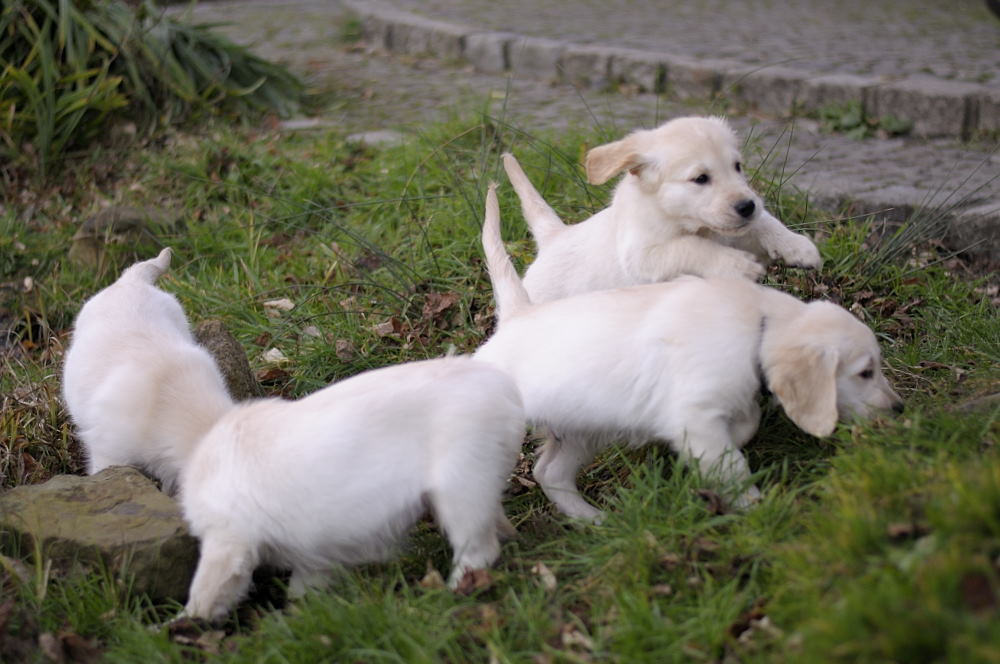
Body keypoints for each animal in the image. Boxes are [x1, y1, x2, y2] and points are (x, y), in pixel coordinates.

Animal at [180, 356, 525, 622]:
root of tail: (504, 386)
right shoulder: (311, 557)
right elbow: (303, 589)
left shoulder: (229, 537)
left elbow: (206, 587)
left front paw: (186, 621)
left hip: (460, 491)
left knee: (478, 552)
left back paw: (449, 594)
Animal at [475, 185, 901, 520]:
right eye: (865, 372)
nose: (899, 409)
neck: (757, 323)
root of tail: (516, 315)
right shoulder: (695, 416)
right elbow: (731, 466)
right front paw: (759, 509)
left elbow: (744, 425)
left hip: (587, 427)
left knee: (550, 472)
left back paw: (593, 519)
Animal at [502, 115, 822, 303]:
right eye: (700, 178)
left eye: (737, 166)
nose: (746, 206)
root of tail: (554, 236)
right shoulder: (643, 255)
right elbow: (690, 247)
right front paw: (735, 263)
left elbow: (765, 222)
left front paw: (797, 246)